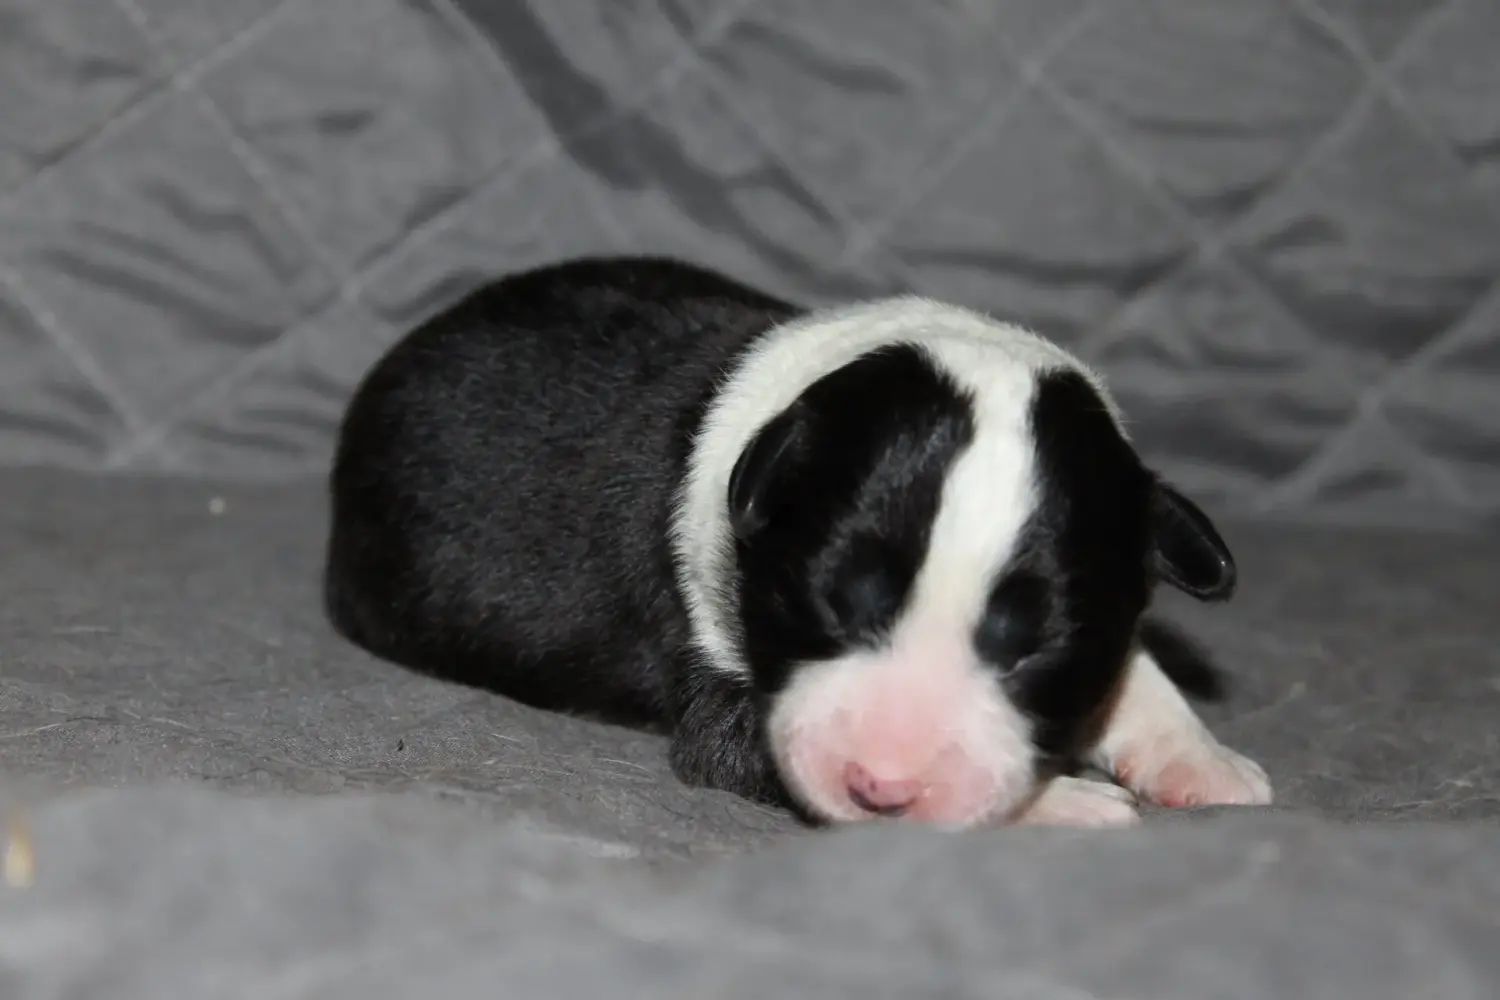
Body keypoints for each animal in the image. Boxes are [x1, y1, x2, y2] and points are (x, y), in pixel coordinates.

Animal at [322, 256, 1272, 827]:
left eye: (1037, 644)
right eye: (827, 599)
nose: (883, 787)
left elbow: (1134, 671)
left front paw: (1203, 757)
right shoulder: (724, 698)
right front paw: (1063, 804)